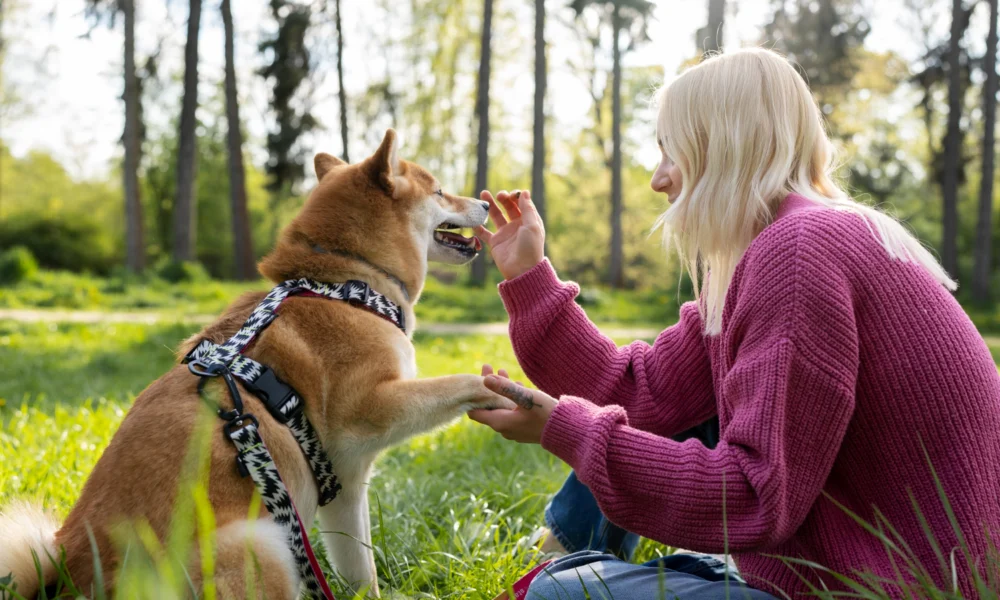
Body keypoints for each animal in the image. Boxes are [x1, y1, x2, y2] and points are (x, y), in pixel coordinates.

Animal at [0, 129, 512, 596]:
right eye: (440, 190)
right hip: (263, 541)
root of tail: (74, 574)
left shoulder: (340, 486)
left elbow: (354, 562)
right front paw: (501, 391)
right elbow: (458, 384)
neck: (347, 281)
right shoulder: (365, 424)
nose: (486, 204)